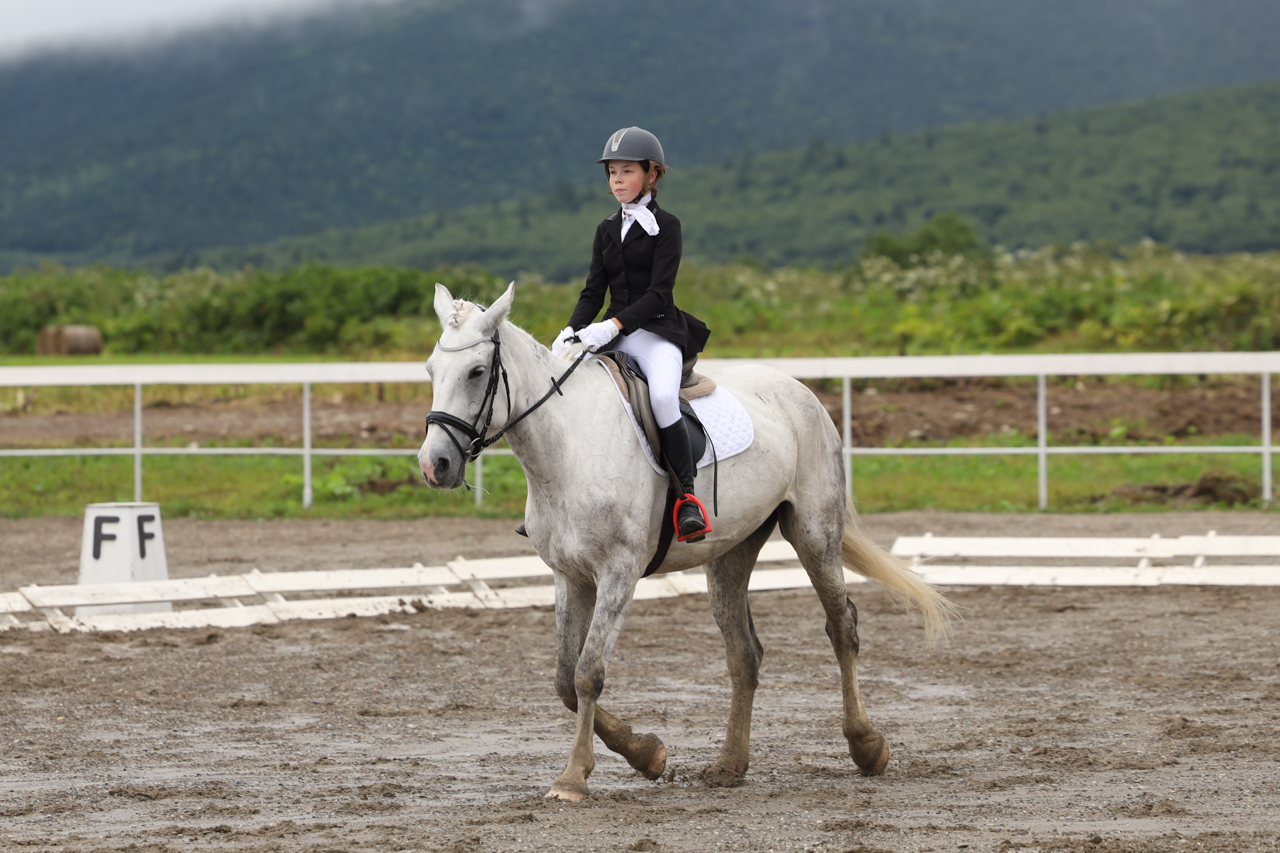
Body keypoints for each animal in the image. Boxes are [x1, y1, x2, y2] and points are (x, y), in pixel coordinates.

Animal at [419, 281, 952, 799]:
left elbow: (589, 673)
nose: (434, 465)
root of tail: (797, 389)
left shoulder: (619, 573)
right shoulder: (569, 577)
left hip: (814, 534)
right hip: (731, 551)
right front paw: (647, 754)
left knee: (842, 628)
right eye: (430, 370)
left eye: (477, 371)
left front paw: (573, 778)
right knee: (744, 654)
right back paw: (730, 767)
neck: (567, 448)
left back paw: (867, 747)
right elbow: (565, 680)